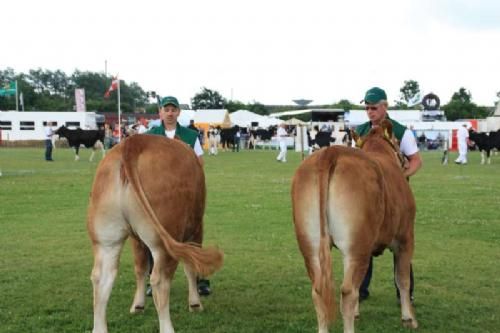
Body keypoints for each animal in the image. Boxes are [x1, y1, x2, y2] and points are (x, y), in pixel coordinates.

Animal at [88, 134, 225, 330]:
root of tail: (134, 143)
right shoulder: (196, 229)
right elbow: (190, 267)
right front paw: (195, 303)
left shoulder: (136, 239)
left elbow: (140, 267)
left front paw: (138, 305)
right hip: (167, 238)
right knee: (160, 280)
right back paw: (168, 327)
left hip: (106, 239)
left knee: (101, 278)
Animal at [292, 120, 416, 332]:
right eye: (397, 141)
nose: (406, 160)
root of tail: (330, 152)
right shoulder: (405, 237)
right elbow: (403, 279)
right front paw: (408, 318)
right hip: (357, 247)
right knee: (348, 292)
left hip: (312, 244)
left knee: (319, 291)